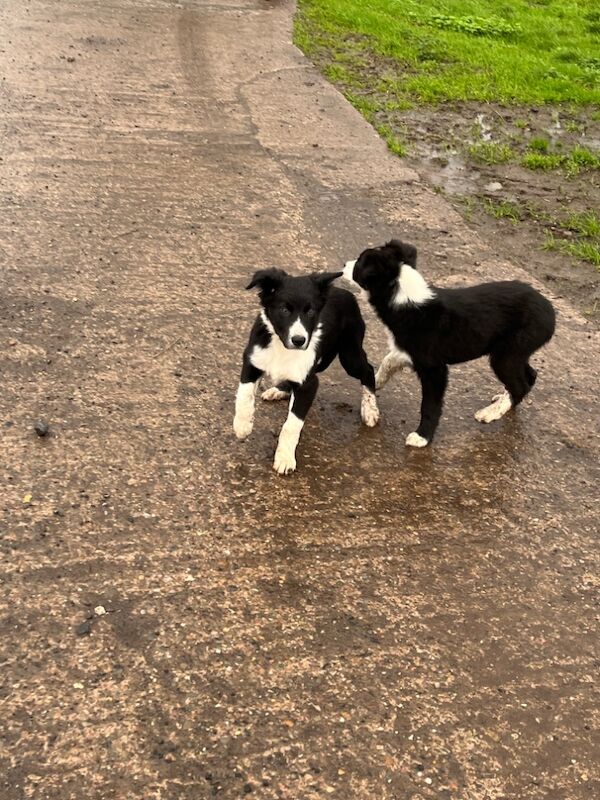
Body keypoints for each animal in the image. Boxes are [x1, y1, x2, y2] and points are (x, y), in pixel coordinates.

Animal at [234, 268, 380, 472]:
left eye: (310, 311)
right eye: (284, 310)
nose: (299, 340)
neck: (282, 346)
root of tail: (343, 291)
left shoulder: (308, 385)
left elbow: (292, 424)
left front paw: (285, 458)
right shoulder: (252, 361)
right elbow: (244, 395)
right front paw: (242, 426)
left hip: (350, 354)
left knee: (368, 370)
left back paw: (370, 409)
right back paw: (279, 390)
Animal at [340, 241, 556, 446]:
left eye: (359, 263)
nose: (343, 265)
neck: (404, 296)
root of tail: (550, 311)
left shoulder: (434, 369)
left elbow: (430, 405)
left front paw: (422, 437)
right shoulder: (407, 351)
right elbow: (388, 362)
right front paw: (374, 383)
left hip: (507, 354)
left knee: (520, 385)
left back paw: (491, 412)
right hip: (515, 351)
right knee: (530, 375)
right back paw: (503, 397)